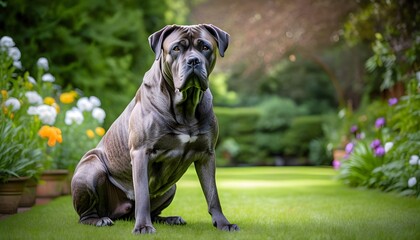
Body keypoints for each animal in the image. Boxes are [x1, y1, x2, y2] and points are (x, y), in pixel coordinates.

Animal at [72, 23, 240, 234]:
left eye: (205, 47)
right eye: (176, 48)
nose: (193, 60)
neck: (185, 107)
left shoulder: (206, 154)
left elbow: (213, 194)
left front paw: (223, 223)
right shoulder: (141, 152)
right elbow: (143, 194)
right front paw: (143, 227)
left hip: (170, 187)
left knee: (153, 211)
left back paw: (170, 219)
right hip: (90, 170)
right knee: (85, 215)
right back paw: (99, 220)